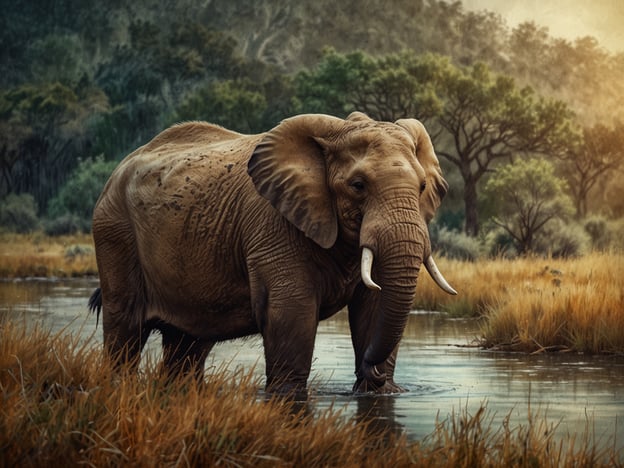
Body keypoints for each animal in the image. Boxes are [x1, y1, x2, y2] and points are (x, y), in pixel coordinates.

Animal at [88, 112, 456, 394]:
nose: (371, 370)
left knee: (188, 343)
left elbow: (374, 306)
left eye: (422, 187)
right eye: (358, 186)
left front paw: (379, 391)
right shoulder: (273, 226)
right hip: (114, 231)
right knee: (125, 328)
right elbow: (292, 312)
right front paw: (287, 395)